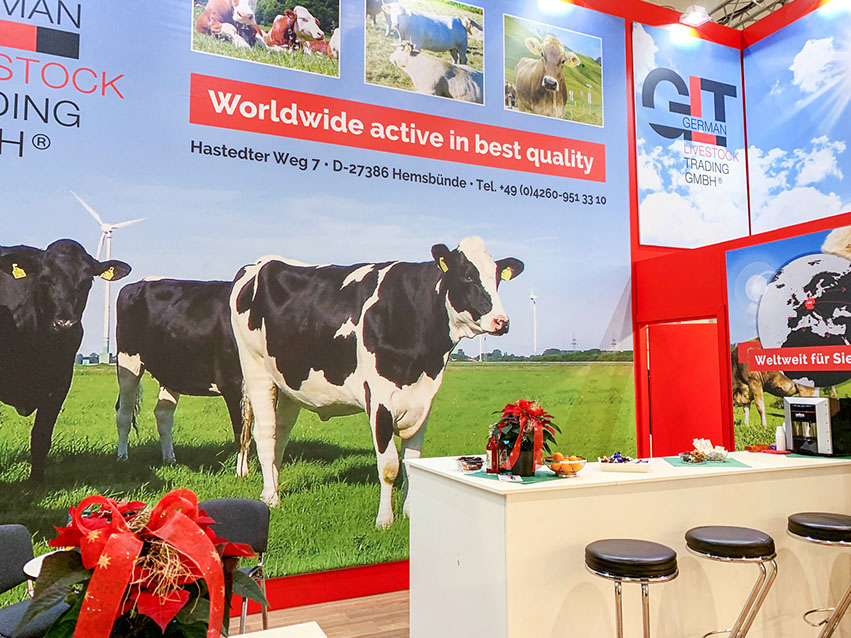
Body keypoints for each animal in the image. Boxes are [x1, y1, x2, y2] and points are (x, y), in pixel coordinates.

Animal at [0, 239, 131, 482]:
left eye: (87, 281)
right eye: (44, 279)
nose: (65, 324)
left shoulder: (60, 382)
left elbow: (41, 436)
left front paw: (36, 483)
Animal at [114, 279, 250, 475]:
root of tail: (136, 284)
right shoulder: (232, 382)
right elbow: (241, 430)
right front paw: (242, 472)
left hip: (172, 372)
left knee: (163, 414)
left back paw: (170, 460)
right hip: (128, 363)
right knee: (124, 413)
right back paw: (123, 458)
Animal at [230, 237, 524, 527]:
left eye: (497, 277)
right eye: (468, 276)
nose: (502, 321)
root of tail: (259, 263)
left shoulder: (423, 401)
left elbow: (411, 462)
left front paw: (410, 513)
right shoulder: (380, 399)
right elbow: (390, 465)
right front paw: (385, 520)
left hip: (289, 383)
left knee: (280, 434)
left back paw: (272, 488)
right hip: (255, 368)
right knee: (264, 434)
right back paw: (271, 498)